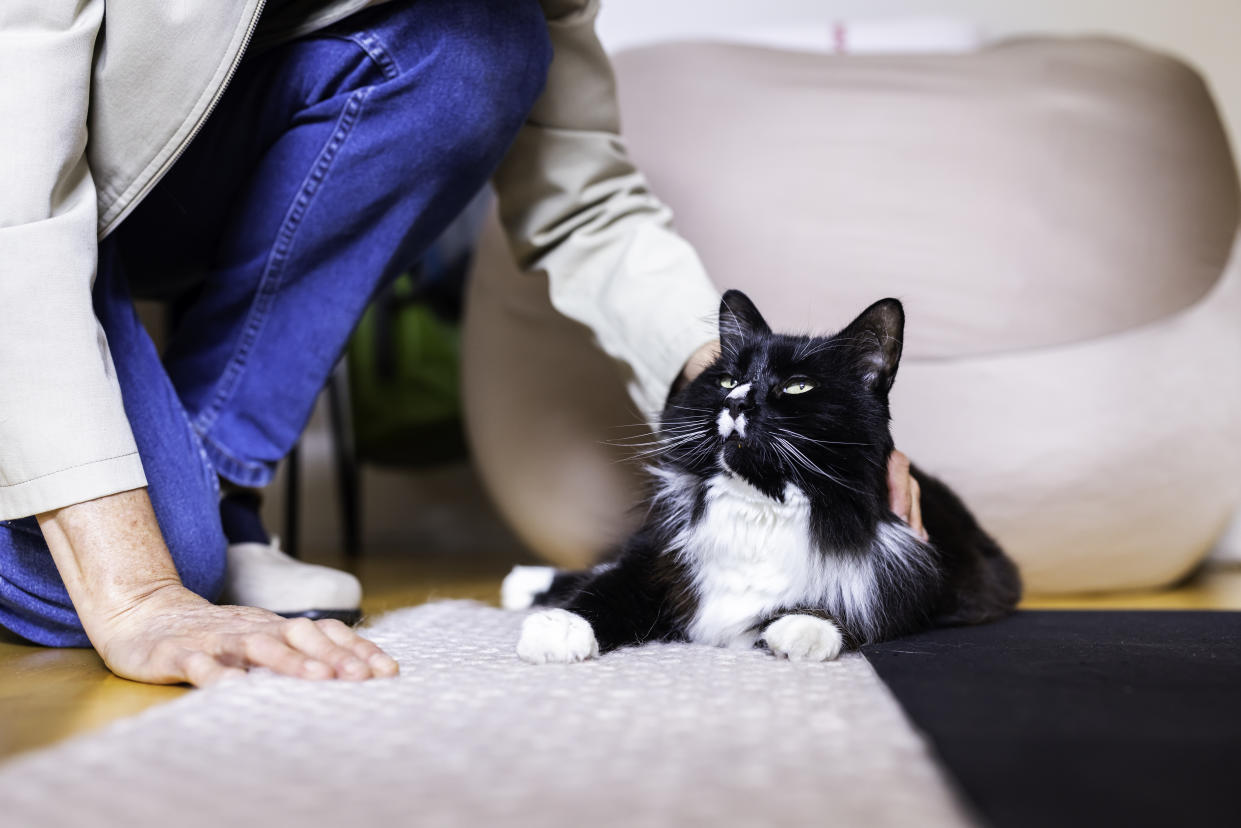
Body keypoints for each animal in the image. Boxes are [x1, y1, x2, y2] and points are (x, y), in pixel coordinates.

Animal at [501, 288, 1017, 665]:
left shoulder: (912, 575)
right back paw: (524, 584)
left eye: (798, 386)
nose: (735, 402)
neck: (760, 504)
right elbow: (606, 590)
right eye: (728, 380)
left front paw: (803, 628)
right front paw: (559, 629)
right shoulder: (654, 559)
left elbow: (858, 610)